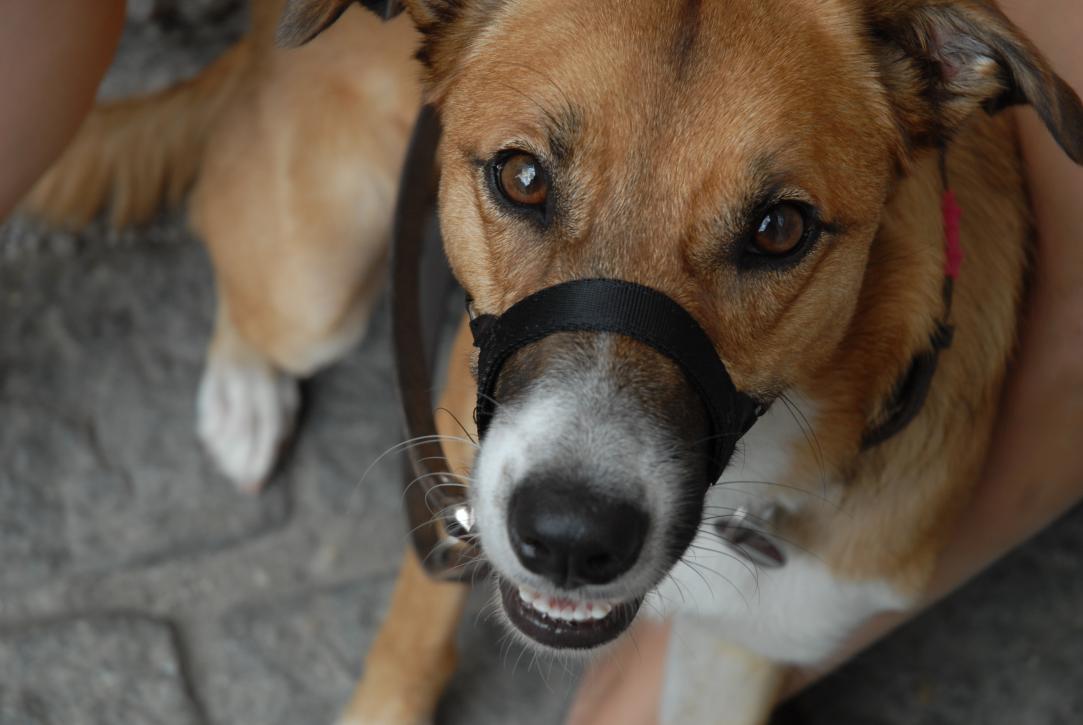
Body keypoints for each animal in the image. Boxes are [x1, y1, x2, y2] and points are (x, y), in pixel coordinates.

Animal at [24, 0, 1083, 723]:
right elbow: (406, 651)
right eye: (523, 177)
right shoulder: (451, 472)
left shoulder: (738, 651)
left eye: (779, 230)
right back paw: (243, 394)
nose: (570, 539)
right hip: (316, 285)